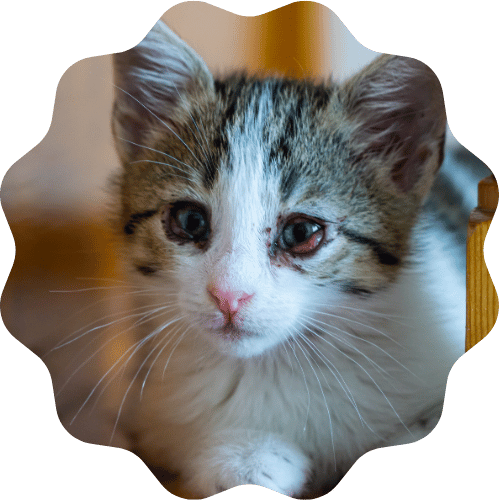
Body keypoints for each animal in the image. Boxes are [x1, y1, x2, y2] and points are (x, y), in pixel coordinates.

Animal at [109, 18, 464, 496]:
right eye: (189, 220)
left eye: (300, 232)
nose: (229, 296)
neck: (274, 366)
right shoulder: (150, 415)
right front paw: (247, 456)